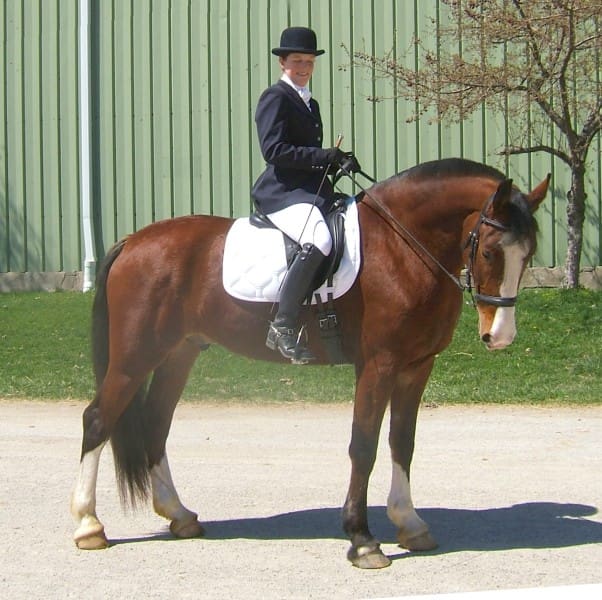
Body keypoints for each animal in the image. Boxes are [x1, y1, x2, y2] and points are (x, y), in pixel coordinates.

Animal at [70, 158, 548, 568]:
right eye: (490, 252)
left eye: (527, 255)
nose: (500, 336)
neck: (401, 247)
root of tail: (133, 241)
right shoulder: (378, 365)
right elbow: (363, 446)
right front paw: (362, 540)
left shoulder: (416, 367)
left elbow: (402, 443)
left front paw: (410, 524)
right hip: (135, 357)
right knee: (98, 419)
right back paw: (88, 525)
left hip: (178, 354)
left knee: (155, 423)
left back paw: (179, 515)